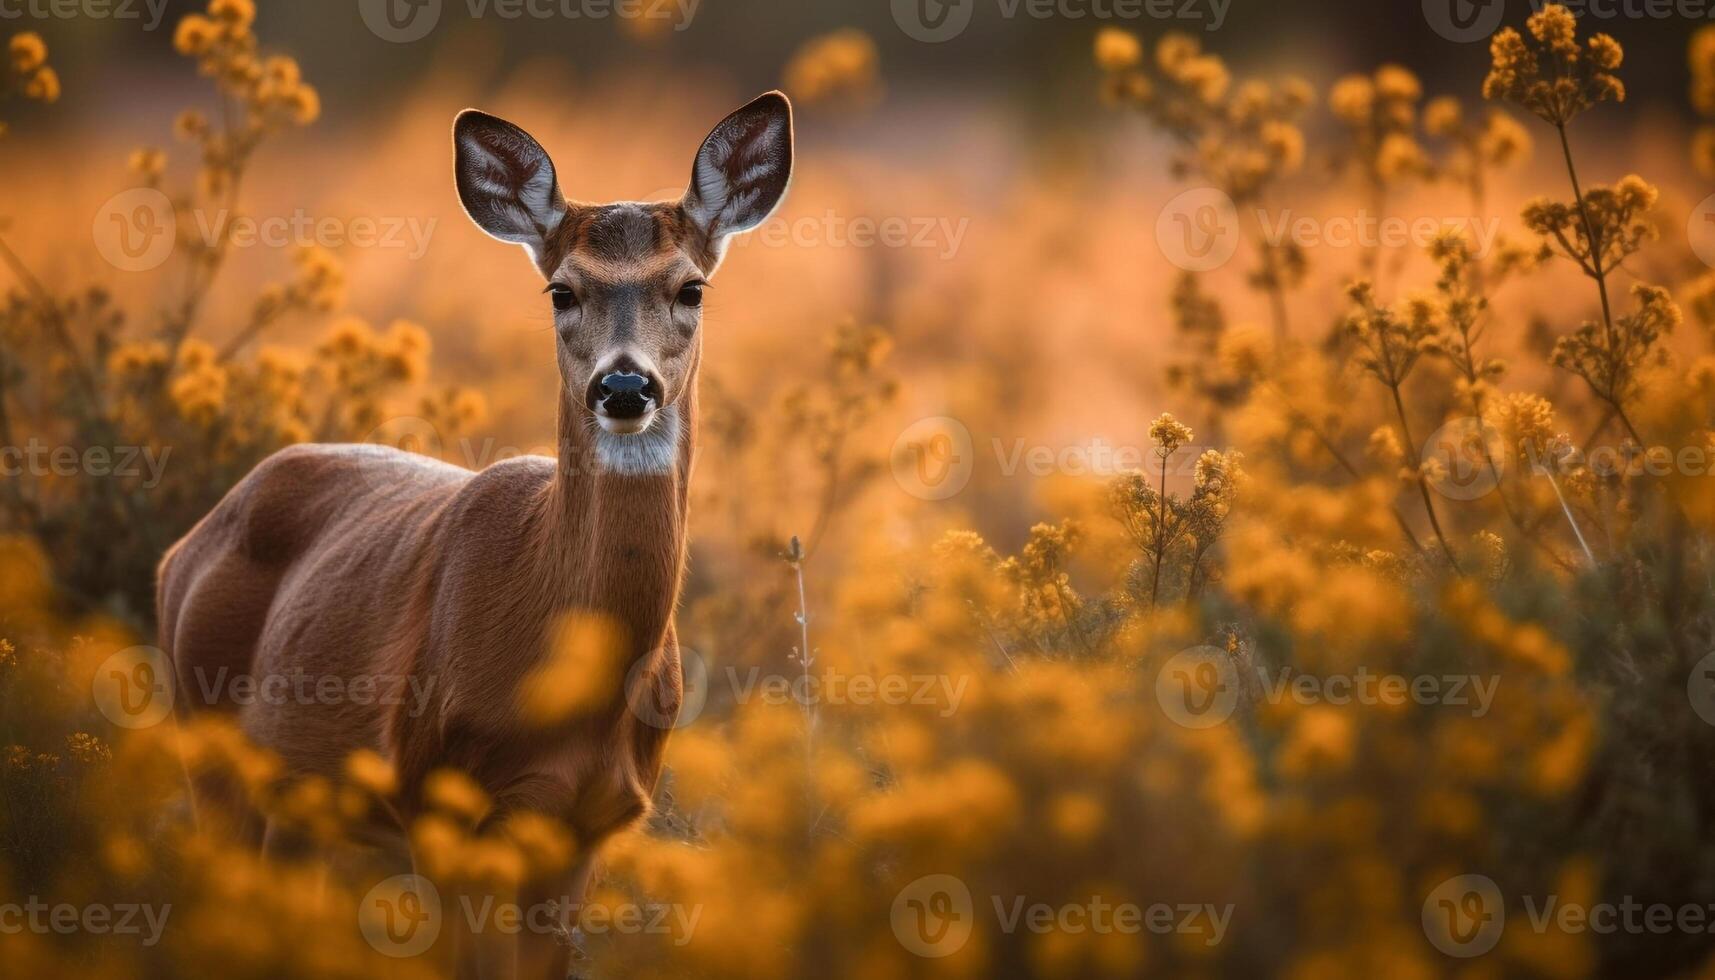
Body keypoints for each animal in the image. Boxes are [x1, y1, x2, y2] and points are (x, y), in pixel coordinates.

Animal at [154, 90, 795, 974]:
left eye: (691, 288)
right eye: (560, 291)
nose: (624, 386)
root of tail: (181, 549)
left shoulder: (584, 830)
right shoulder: (439, 798)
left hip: (301, 808)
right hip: (206, 740)